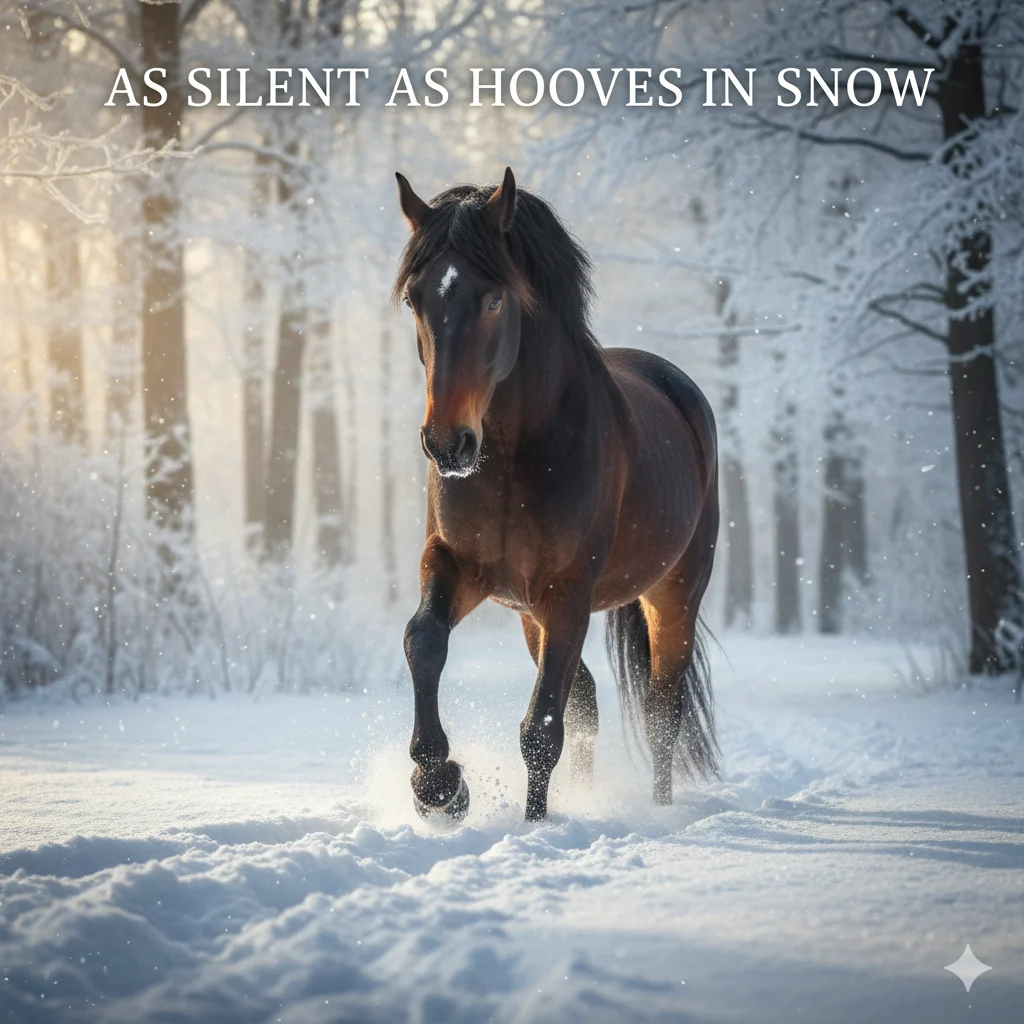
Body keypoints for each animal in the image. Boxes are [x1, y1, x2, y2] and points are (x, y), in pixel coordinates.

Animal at [393, 167, 720, 822]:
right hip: (531, 616)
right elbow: (424, 639)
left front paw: (532, 825)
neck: (511, 455)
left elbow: (542, 728)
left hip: (674, 593)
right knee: (588, 700)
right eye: (416, 299)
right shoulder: (457, 566)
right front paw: (439, 784)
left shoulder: (567, 591)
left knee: (661, 711)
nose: (447, 444)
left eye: (494, 299)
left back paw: (661, 810)